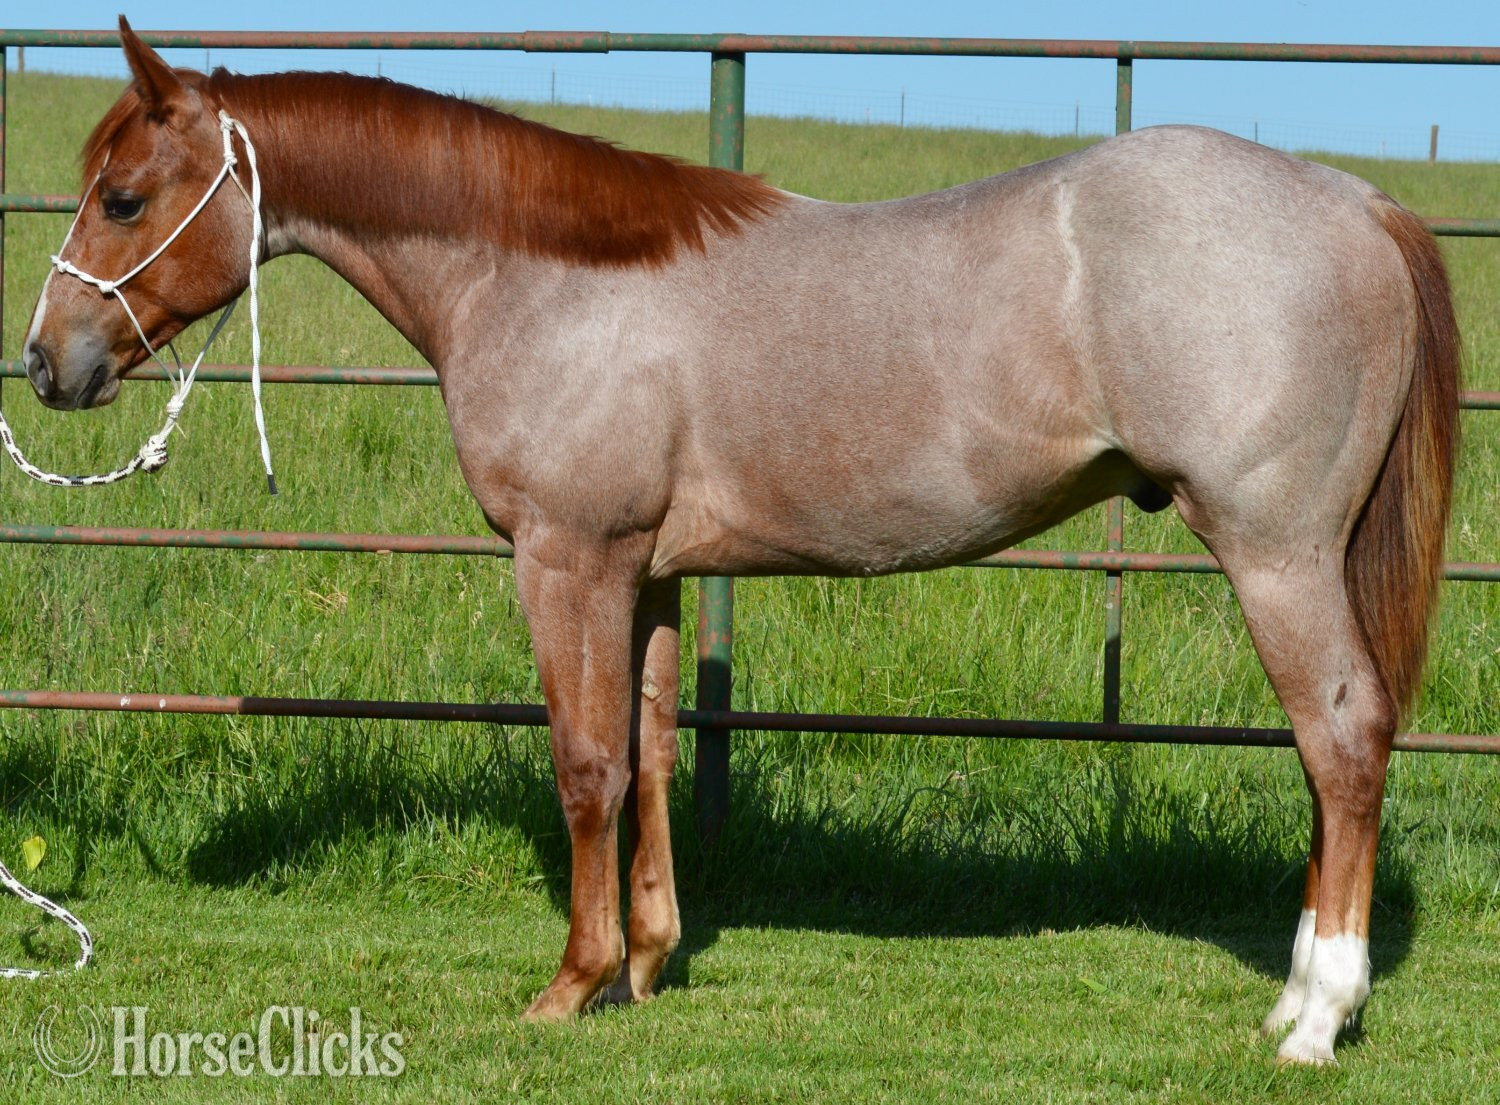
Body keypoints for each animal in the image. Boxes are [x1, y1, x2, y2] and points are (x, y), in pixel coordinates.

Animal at [22, 20, 1458, 1065]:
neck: (548, 275)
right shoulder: (652, 572)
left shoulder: (568, 559)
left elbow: (586, 765)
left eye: (124, 197)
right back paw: (1297, 999)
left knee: (1341, 739)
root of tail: (1356, 203)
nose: (47, 361)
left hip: (1275, 554)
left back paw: (1315, 1019)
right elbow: (655, 752)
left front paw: (573, 983)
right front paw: (650, 962)